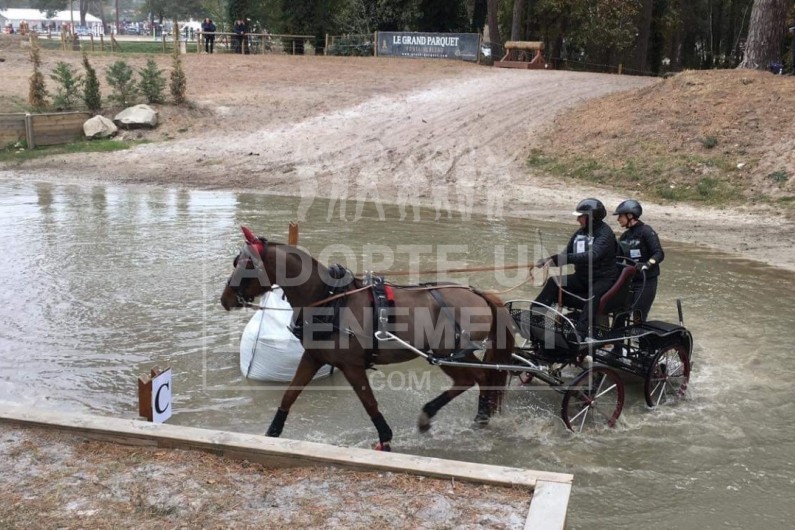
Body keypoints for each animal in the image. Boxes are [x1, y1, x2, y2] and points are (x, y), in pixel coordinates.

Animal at [219, 225, 516, 448]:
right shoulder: (313, 357)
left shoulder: (351, 365)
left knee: (473, 378)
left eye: (246, 265)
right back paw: (479, 416)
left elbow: (369, 402)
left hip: (447, 354)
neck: (330, 300)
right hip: (458, 353)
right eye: (235, 262)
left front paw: (385, 438)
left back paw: (438, 415)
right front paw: (272, 433)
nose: (225, 299)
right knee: (483, 377)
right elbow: (289, 395)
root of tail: (478, 293)